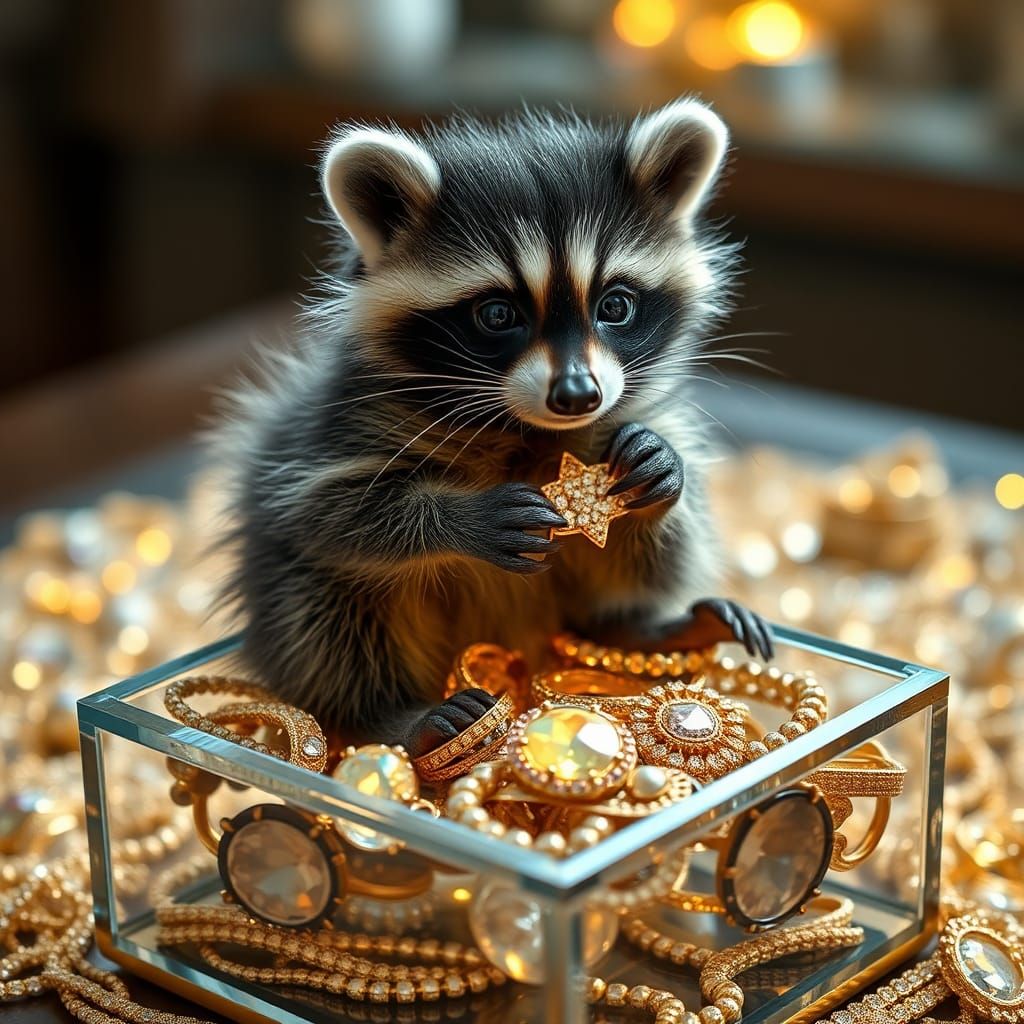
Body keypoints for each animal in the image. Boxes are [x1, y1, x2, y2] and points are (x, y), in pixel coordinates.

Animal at [214, 98, 773, 755]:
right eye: (498, 314)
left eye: (614, 305)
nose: (578, 396)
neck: (526, 429)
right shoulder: (331, 430)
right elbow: (333, 513)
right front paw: (455, 517)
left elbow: (656, 527)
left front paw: (663, 471)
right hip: (292, 590)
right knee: (325, 613)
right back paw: (395, 714)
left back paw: (649, 629)